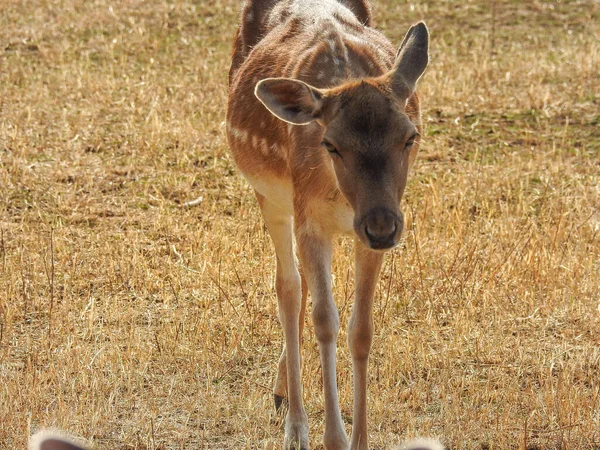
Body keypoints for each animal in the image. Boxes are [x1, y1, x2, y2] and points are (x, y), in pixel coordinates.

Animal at [227, 0, 428, 450]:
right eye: (331, 144)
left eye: (410, 137)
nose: (382, 226)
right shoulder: (310, 220)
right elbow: (324, 321)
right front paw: (332, 438)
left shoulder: (365, 239)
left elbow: (361, 329)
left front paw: (361, 439)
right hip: (272, 197)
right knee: (288, 287)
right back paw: (295, 424)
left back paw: (282, 391)